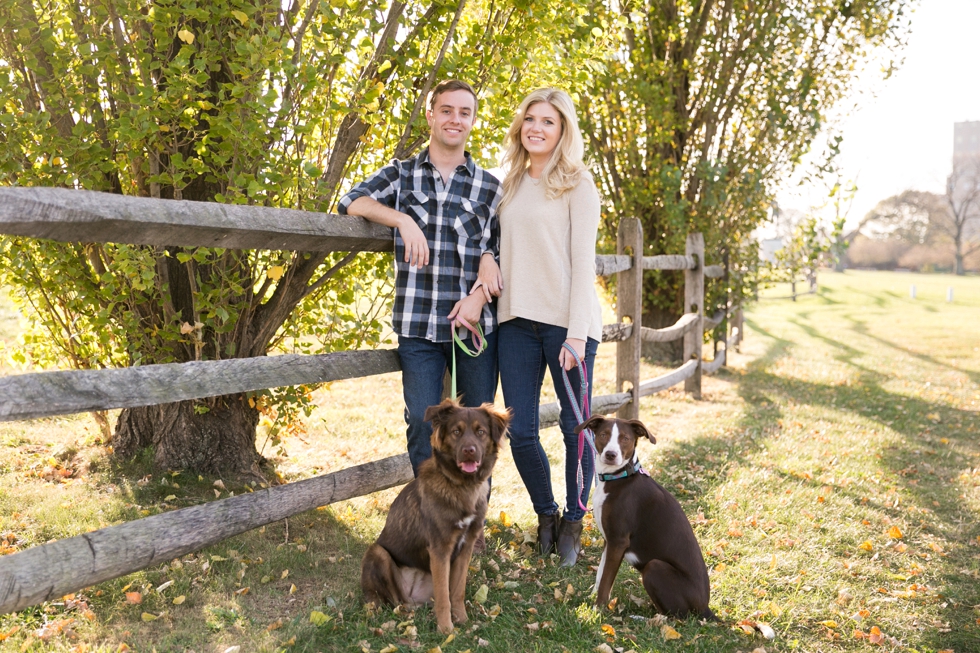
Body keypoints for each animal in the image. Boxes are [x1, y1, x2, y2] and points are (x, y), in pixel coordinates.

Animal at [362, 398, 512, 632]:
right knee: (389, 601)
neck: (462, 487)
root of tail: (412, 597)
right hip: (377, 553)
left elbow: (456, 592)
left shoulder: (465, 548)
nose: (469, 451)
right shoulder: (440, 549)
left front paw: (462, 620)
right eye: (456, 431)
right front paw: (446, 630)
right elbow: (444, 597)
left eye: (480, 432)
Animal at [580, 416, 716, 620]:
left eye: (625, 438)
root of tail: (705, 609)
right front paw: (591, 598)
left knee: (674, 617)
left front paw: (598, 610)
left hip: (654, 567)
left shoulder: (618, 541)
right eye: (603, 435)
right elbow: (601, 574)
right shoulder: (608, 539)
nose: (611, 455)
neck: (620, 477)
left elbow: (605, 580)